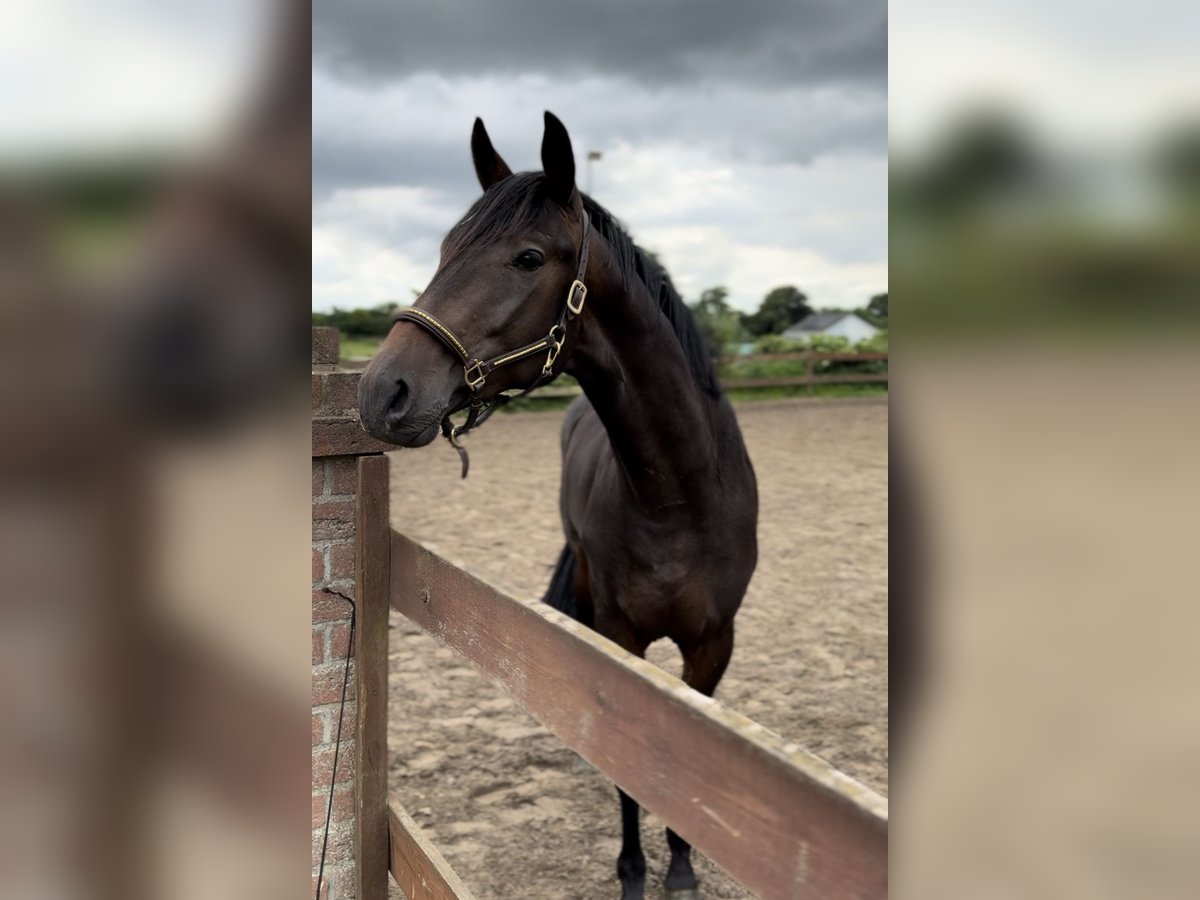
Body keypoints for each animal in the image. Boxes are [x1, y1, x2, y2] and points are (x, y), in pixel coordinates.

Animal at [352, 112, 758, 900]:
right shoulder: (621, 637)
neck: (680, 498)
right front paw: (633, 873)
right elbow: (632, 776)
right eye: (444, 250)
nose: (383, 391)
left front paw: (682, 870)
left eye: (528, 257)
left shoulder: (712, 643)